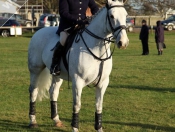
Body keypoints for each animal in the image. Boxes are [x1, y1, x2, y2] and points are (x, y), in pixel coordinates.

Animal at [27, 0, 129, 131]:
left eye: (126, 15)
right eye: (111, 16)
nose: (123, 42)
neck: (97, 50)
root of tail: (38, 32)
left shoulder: (103, 83)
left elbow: (99, 106)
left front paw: (99, 128)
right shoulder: (78, 82)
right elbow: (77, 105)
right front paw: (75, 128)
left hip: (58, 74)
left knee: (53, 92)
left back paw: (56, 120)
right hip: (35, 70)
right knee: (33, 91)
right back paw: (33, 121)